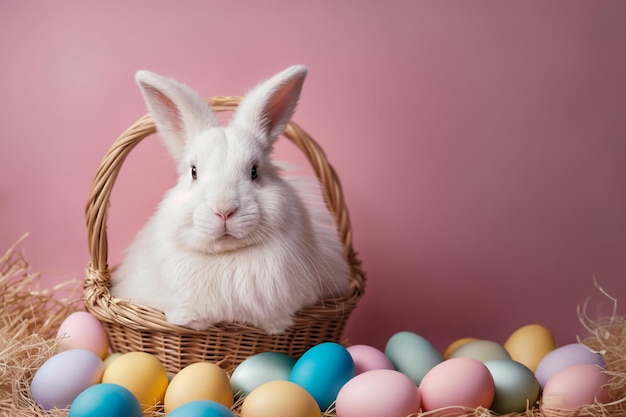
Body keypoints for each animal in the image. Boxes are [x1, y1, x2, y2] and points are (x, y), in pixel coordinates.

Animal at [111, 64, 352, 332]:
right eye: (193, 172)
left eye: (255, 171)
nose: (224, 210)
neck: (226, 257)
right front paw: (188, 319)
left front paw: (275, 325)